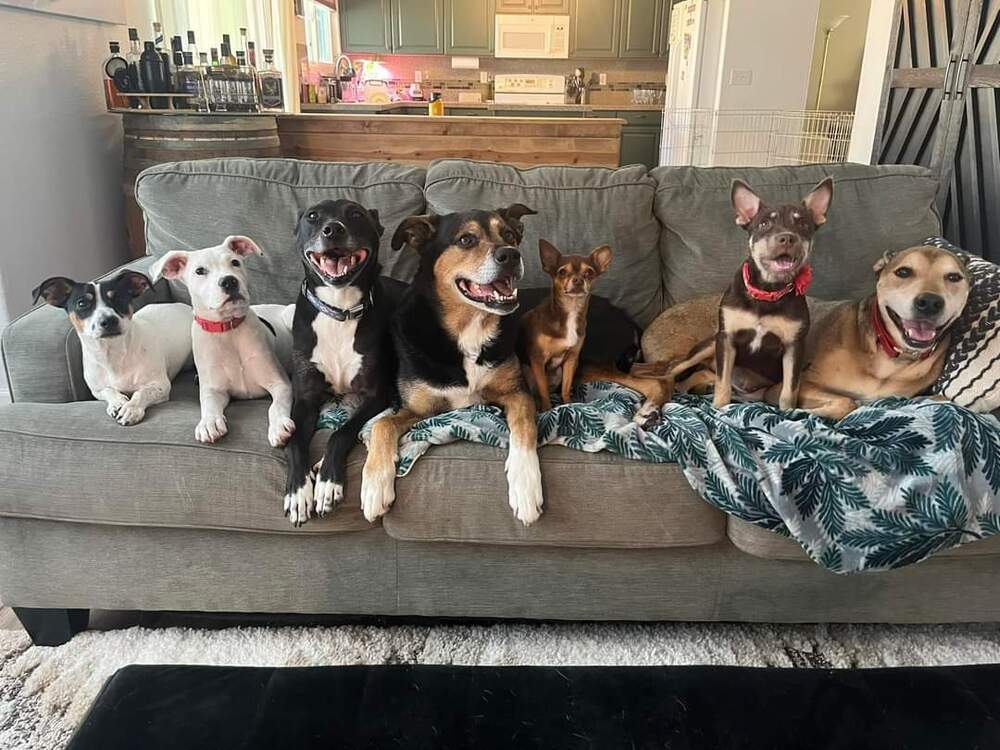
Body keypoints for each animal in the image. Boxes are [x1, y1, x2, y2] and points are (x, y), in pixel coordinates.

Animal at [32, 272, 193, 426]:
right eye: (82, 303)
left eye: (119, 298)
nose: (109, 321)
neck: (113, 354)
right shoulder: (96, 390)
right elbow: (108, 390)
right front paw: (118, 402)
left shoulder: (160, 385)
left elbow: (142, 392)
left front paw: (131, 409)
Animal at [150, 236, 294, 446]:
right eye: (200, 271)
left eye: (235, 262)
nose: (229, 281)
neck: (228, 329)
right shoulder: (214, 390)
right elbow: (208, 403)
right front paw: (208, 422)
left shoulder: (280, 383)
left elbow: (275, 406)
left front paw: (279, 426)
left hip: (291, 314)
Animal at [284, 200, 404, 528]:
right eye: (312, 216)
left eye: (355, 214)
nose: (332, 230)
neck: (340, 308)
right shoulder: (306, 397)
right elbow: (294, 443)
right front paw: (298, 492)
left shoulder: (377, 394)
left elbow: (342, 432)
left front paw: (328, 483)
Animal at [362, 203, 548, 524]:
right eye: (465, 240)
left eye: (509, 235)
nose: (511, 254)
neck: (470, 327)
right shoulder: (417, 408)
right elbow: (382, 425)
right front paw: (374, 488)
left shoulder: (516, 393)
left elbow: (525, 425)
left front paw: (525, 487)